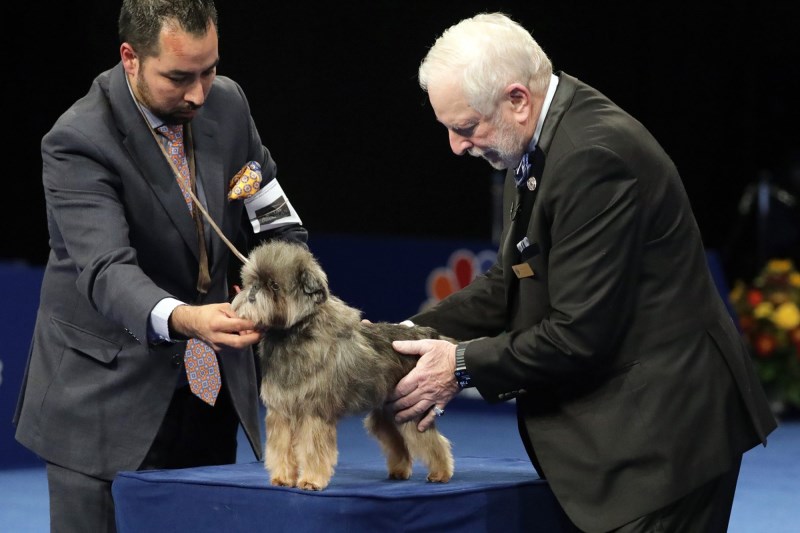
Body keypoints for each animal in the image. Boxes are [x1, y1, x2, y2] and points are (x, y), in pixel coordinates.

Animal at [231, 241, 456, 490]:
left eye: (274, 285)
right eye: (252, 281)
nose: (253, 291)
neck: (291, 335)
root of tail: (425, 335)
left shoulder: (313, 414)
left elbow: (313, 449)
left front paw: (311, 480)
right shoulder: (281, 413)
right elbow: (281, 448)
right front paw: (283, 477)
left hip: (410, 412)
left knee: (434, 442)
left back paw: (441, 473)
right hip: (389, 412)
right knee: (397, 441)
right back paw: (400, 470)